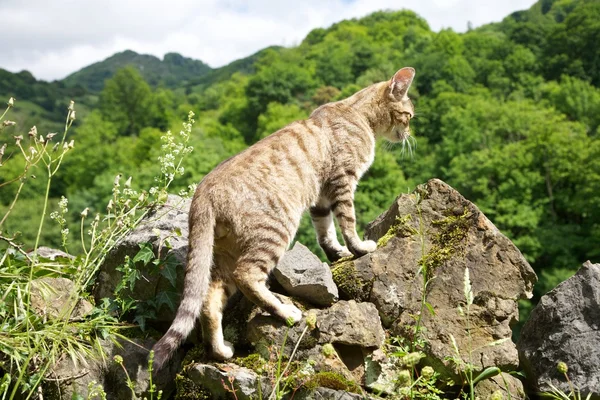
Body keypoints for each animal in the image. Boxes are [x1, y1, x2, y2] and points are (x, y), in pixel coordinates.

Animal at [152, 65, 414, 368]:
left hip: (223, 254)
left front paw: (338, 253)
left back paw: (220, 351)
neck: (359, 114)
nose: (409, 135)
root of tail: (202, 192)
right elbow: (347, 222)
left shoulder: (321, 197)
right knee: (247, 276)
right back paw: (284, 312)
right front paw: (359, 247)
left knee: (208, 299)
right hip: (275, 230)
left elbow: (325, 232)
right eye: (409, 115)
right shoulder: (342, 181)